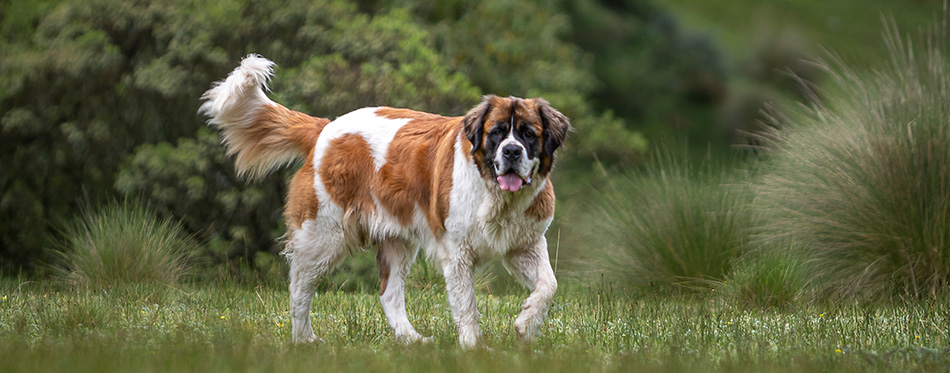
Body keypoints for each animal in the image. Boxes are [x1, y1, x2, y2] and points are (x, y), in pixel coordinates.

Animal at [199, 54, 572, 346]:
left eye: (528, 134)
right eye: (496, 133)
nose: (511, 151)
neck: (496, 197)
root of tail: (325, 129)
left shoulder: (525, 244)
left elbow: (549, 285)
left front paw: (525, 325)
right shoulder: (457, 254)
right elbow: (467, 304)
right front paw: (474, 347)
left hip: (396, 240)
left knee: (388, 294)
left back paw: (411, 340)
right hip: (322, 236)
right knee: (300, 288)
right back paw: (304, 339)